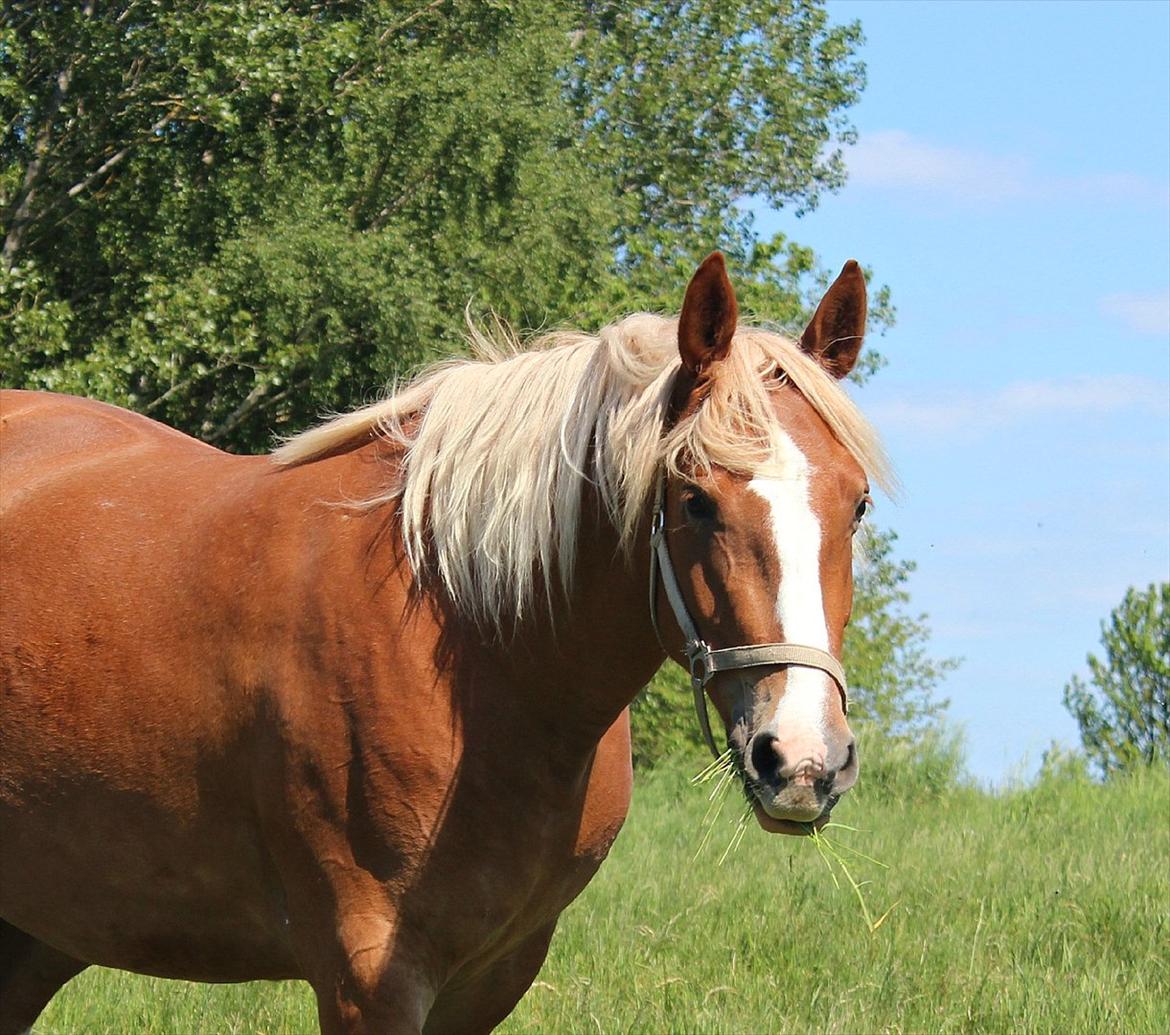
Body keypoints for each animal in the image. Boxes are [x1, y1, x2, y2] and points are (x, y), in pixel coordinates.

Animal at [0, 252, 889, 1033]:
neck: (475, 648)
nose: (803, 758)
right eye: (696, 499)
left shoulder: (492, 973)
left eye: (857, 505)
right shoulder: (370, 977)